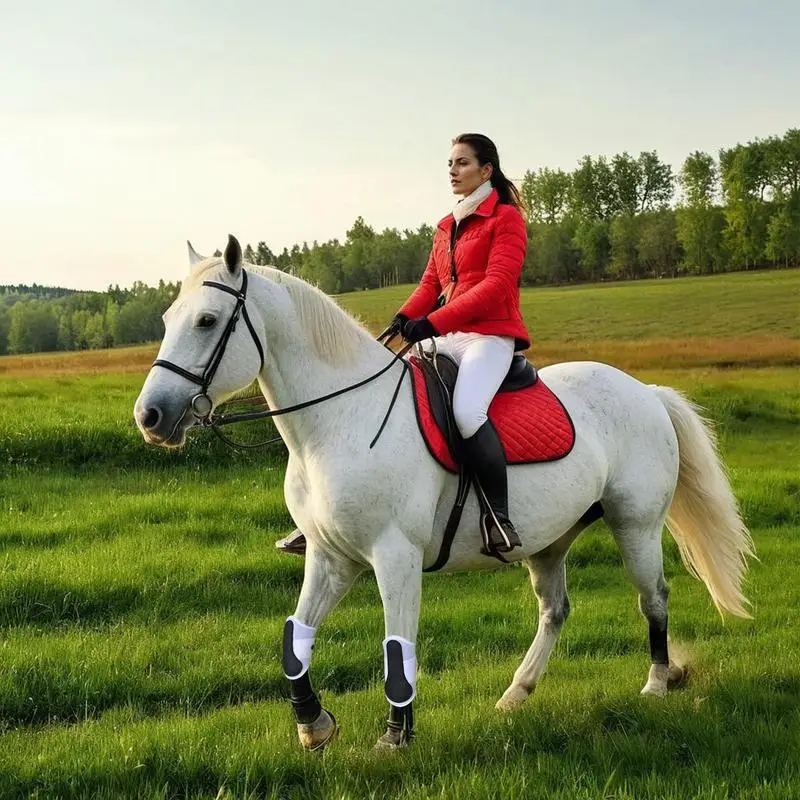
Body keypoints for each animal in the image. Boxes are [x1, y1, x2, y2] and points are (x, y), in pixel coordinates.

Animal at [134, 236, 752, 752]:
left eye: (208, 320)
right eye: (167, 319)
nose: (150, 416)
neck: (339, 421)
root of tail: (645, 390)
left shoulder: (395, 557)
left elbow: (396, 643)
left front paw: (395, 737)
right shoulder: (331, 558)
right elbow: (294, 641)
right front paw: (315, 725)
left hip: (636, 524)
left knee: (654, 598)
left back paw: (656, 684)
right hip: (550, 539)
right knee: (554, 610)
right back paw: (516, 693)